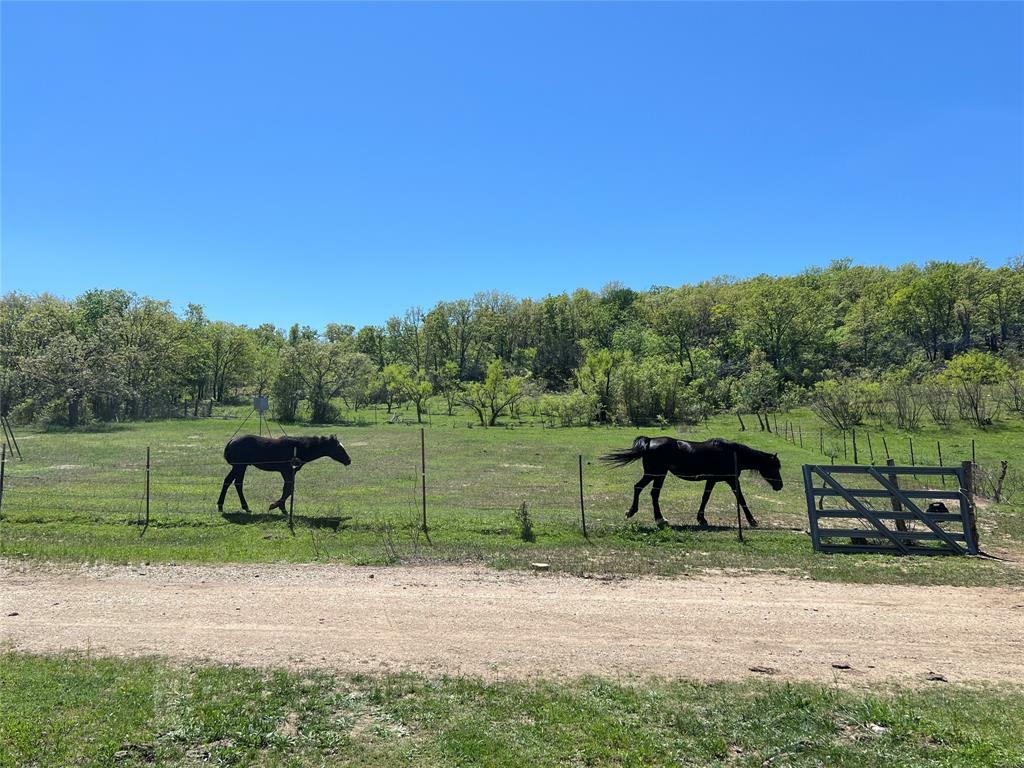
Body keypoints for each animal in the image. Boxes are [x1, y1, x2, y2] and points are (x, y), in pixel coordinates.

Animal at [216, 436, 352, 514]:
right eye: (339, 448)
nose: (349, 460)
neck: (297, 448)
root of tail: (231, 442)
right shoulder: (286, 471)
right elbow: (288, 489)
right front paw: (275, 506)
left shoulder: (289, 472)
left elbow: (287, 488)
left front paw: (282, 507)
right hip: (240, 466)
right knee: (237, 483)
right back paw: (243, 507)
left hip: (238, 467)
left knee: (228, 481)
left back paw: (222, 506)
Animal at [598, 438, 782, 528]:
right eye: (774, 467)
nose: (780, 486)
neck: (732, 453)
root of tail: (649, 441)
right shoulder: (731, 480)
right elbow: (741, 499)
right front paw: (753, 521)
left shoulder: (712, 480)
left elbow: (705, 498)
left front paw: (701, 519)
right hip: (657, 473)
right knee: (647, 491)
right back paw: (653, 518)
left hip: (656, 474)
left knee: (645, 490)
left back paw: (649, 516)